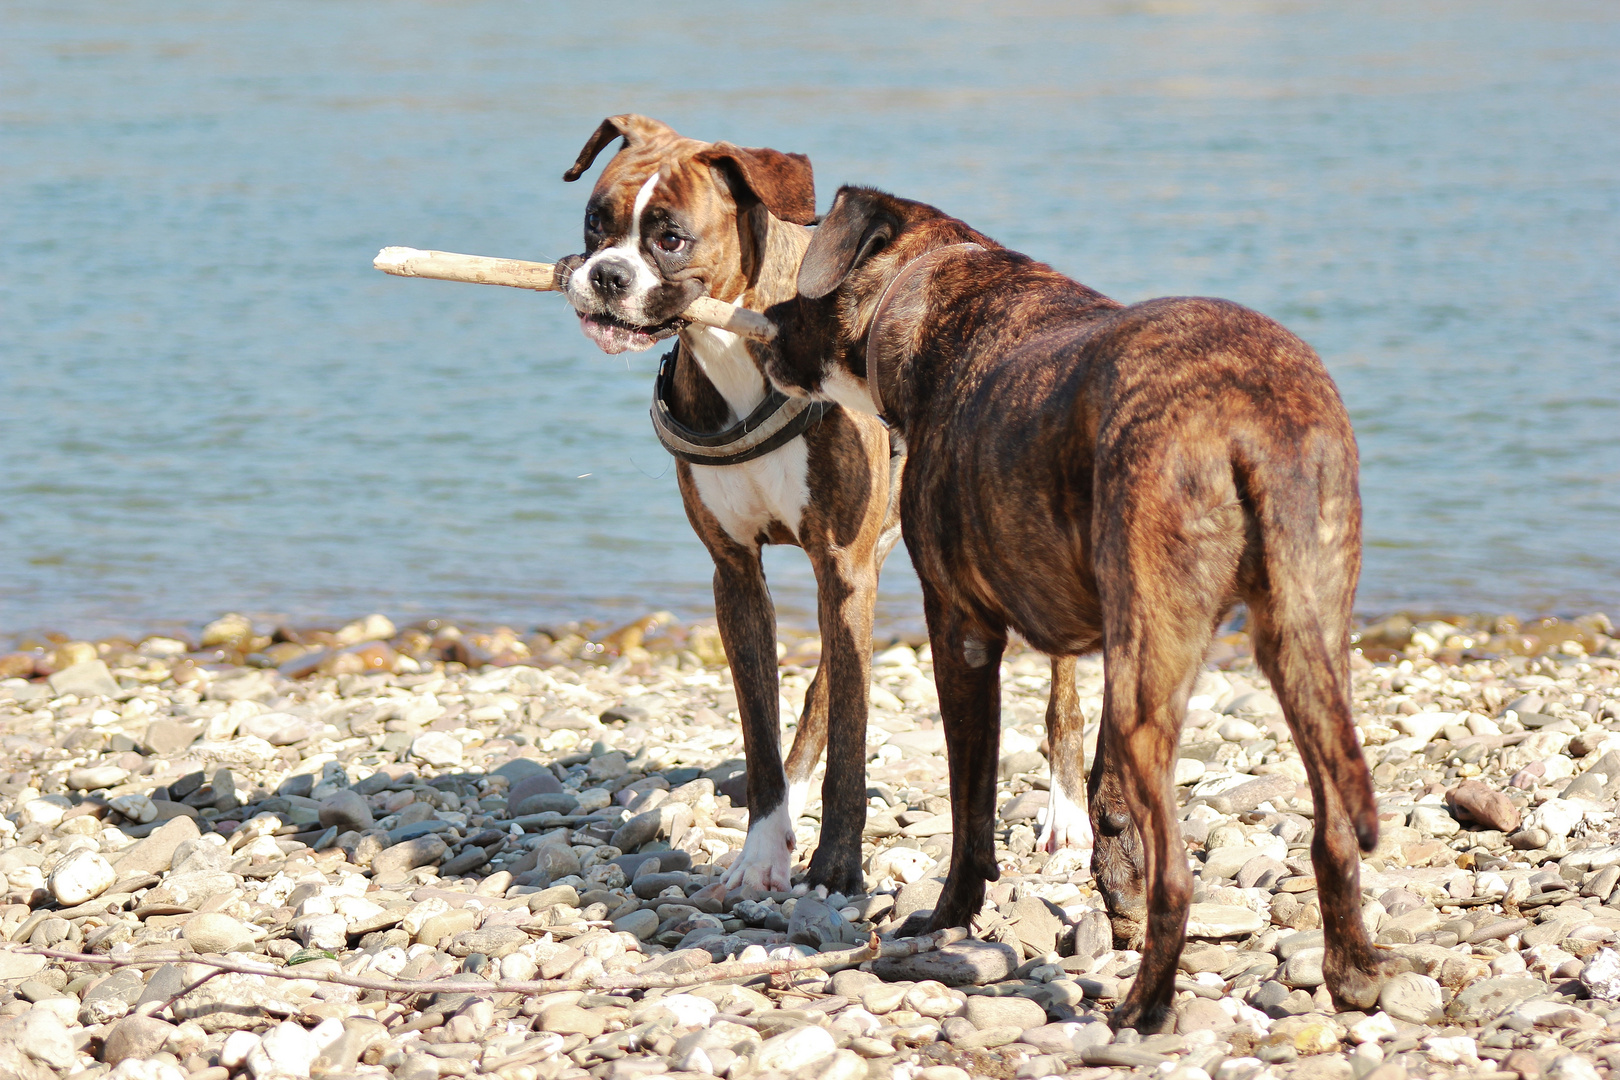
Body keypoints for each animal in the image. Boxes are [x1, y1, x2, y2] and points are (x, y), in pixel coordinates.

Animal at [554, 116, 900, 893]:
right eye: (595, 221)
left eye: (669, 237)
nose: (606, 276)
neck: (733, 346)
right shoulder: (737, 573)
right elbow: (761, 732)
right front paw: (762, 854)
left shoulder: (842, 567)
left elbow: (852, 740)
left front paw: (837, 867)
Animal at [751, 183, 1399, 1029]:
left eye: (804, 292)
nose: (764, 328)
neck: (934, 295)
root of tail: (1247, 417)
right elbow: (1103, 790)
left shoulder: (960, 630)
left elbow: (971, 804)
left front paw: (950, 916)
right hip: (1300, 644)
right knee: (1332, 833)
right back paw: (1350, 972)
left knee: (1179, 876)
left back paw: (1143, 1009)